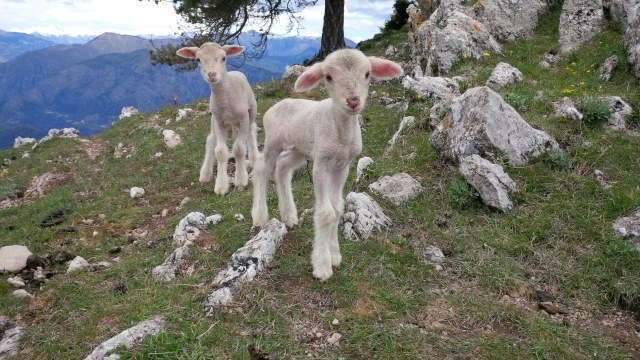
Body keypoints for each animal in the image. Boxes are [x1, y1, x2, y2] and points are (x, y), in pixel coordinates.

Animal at [176, 42, 258, 197]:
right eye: (198, 60)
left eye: (223, 58)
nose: (212, 74)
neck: (226, 100)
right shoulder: (219, 121)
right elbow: (220, 151)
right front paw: (221, 185)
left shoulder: (243, 119)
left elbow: (239, 149)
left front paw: (240, 181)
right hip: (214, 119)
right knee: (211, 140)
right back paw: (205, 173)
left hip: (251, 111)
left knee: (251, 132)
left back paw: (253, 159)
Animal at [252, 47, 402, 280]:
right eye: (328, 77)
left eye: (367, 74)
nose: (353, 101)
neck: (340, 133)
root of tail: (277, 105)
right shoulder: (322, 163)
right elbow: (326, 212)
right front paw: (322, 266)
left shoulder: (343, 165)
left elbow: (337, 209)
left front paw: (335, 255)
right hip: (273, 142)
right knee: (262, 169)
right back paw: (259, 216)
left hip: (299, 149)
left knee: (282, 169)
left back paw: (289, 216)